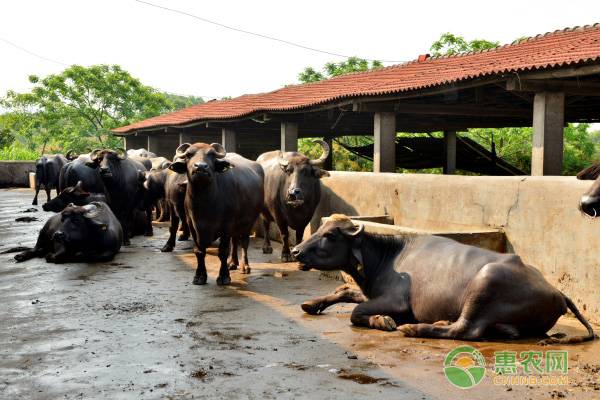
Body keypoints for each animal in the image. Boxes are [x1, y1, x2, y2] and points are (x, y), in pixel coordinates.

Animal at [169, 143, 262, 284]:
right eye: (188, 155)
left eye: (212, 155)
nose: (200, 167)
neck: (205, 203)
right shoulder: (192, 225)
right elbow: (199, 251)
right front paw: (199, 276)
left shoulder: (227, 225)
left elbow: (223, 251)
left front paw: (224, 276)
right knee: (235, 241)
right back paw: (232, 263)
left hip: (249, 221)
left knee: (244, 243)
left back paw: (245, 266)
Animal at [292, 216, 596, 344]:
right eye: (319, 229)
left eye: (330, 235)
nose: (296, 251)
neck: (385, 258)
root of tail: (557, 292)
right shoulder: (368, 291)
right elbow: (344, 289)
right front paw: (311, 303)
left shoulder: (397, 302)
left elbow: (357, 312)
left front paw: (384, 321)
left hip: (485, 281)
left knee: (465, 330)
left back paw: (416, 329)